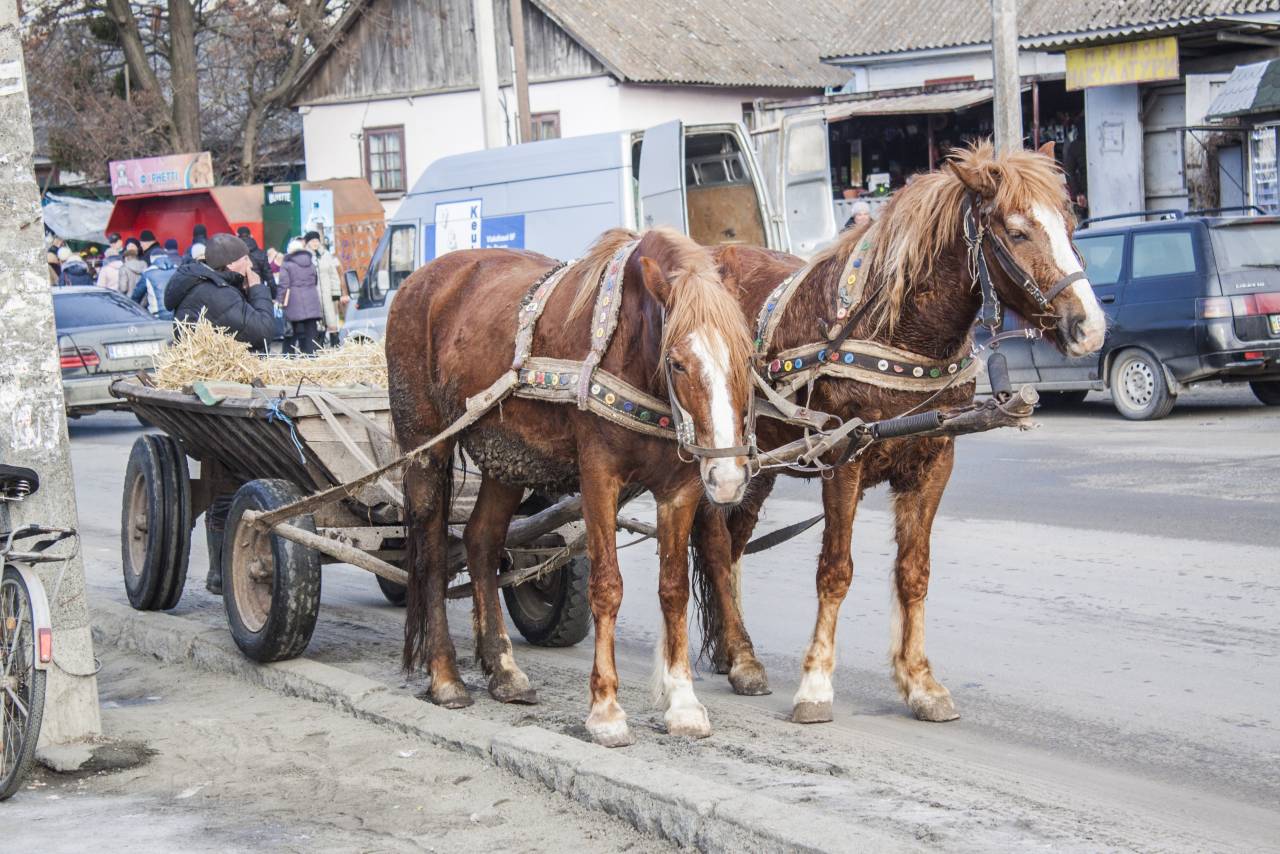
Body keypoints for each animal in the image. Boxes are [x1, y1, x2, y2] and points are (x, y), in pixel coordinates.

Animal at [384, 229, 752, 747]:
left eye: (748, 357)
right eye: (678, 363)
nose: (729, 476)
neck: (630, 343)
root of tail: (417, 282)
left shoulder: (680, 490)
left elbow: (673, 589)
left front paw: (682, 704)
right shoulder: (599, 476)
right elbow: (607, 586)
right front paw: (606, 709)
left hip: (507, 458)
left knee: (481, 542)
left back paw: (503, 669)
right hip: (424, 447)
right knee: (433, 553)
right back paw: (445, 677)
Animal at [696, 140, 1105, 722]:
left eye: (1069, 224)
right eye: (1018, 231)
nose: (1089, 326)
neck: (895, 332)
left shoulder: (933, 461)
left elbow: (914, 572)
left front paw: (920, 683)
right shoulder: (843, 462)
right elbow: (835, 571)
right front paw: (815, 684)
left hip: (759, 466)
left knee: (733, 545)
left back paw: (736, 653)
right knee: (714, 545)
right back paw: (745, 659)